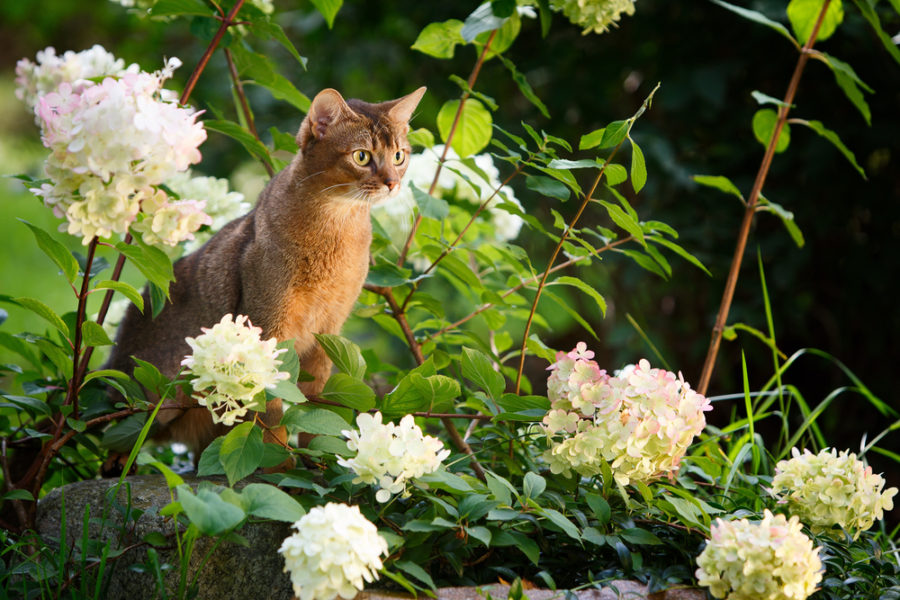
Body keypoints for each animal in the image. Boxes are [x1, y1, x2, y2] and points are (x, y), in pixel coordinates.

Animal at [105, 86, 426, 458]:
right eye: (362, 157)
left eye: (399, 156)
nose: (392, 183)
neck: (336, 229)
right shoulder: (266, 327)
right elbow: (269, 415)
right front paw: (279, 463)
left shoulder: (328, 333)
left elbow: (319, 409)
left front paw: (319, 458)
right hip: (163, 398)